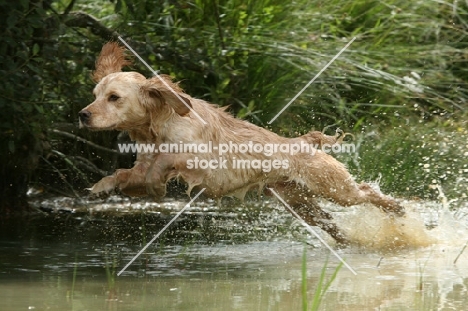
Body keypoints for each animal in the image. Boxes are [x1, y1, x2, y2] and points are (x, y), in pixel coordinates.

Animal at [78, 42, 404, 245]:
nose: (83, 115)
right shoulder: (142, 162)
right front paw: (102, 187)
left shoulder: (201, 159)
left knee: (366, 192)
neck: (158, 127)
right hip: (299, 203)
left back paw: (397, 209)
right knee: (331, 222)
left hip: (335, 189)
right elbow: (124, 174)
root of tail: (302, 141)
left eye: (114, 97)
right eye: (95, 95)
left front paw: (154, 184)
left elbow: (163, 162)